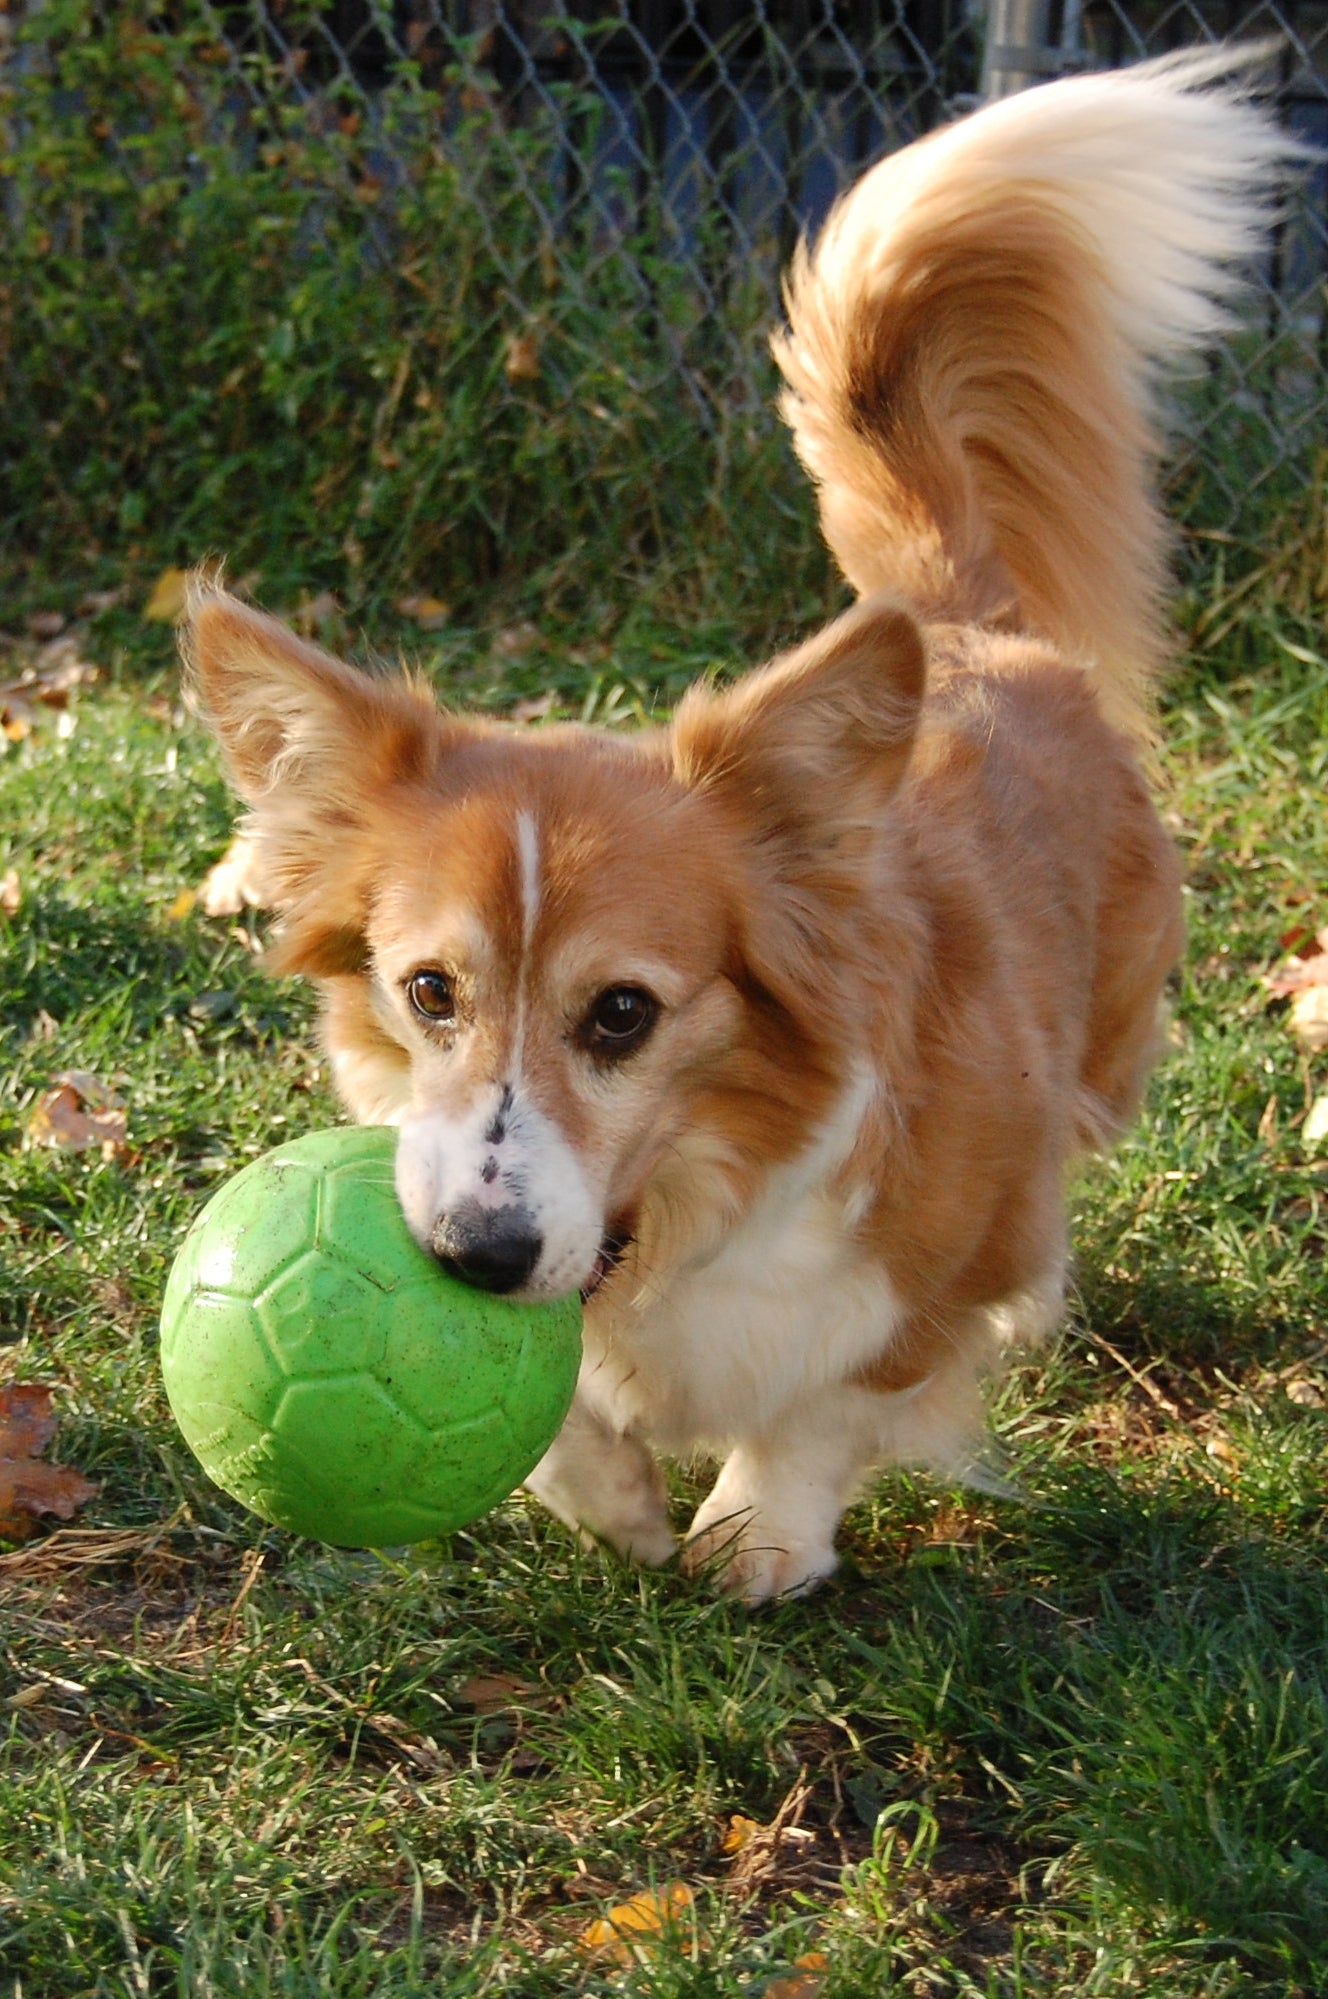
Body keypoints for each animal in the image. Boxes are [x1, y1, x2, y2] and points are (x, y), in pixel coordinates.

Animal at [182, 46, 1288, 1599]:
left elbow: (839, 1394)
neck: (686, 1195)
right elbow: (572, 1413)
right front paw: (615, 1501)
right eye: (428, 990)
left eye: (624, 1012)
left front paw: (754, 1535)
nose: (473, 1257)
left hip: (1110, 1043)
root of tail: (957, 619)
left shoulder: (921, 1260)